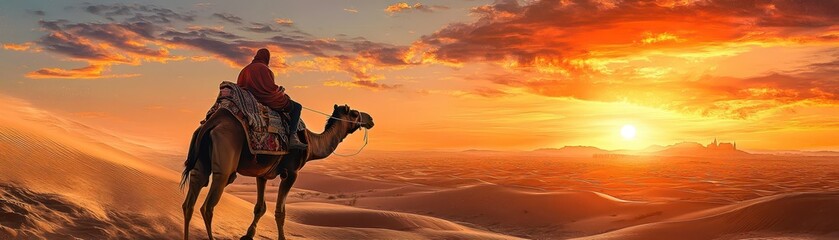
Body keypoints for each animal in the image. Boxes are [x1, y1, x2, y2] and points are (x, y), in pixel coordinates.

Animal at [182, 105, 376, 240]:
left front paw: (248, 235)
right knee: (207, 206)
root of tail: (212, 123)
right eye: (354, 113)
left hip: (200, 164)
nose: (371, 119)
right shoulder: (291, 173)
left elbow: (259, 208)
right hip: (225, 162)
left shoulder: (262, 174)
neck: (311, 144)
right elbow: (280, 212)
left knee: (189, 202)